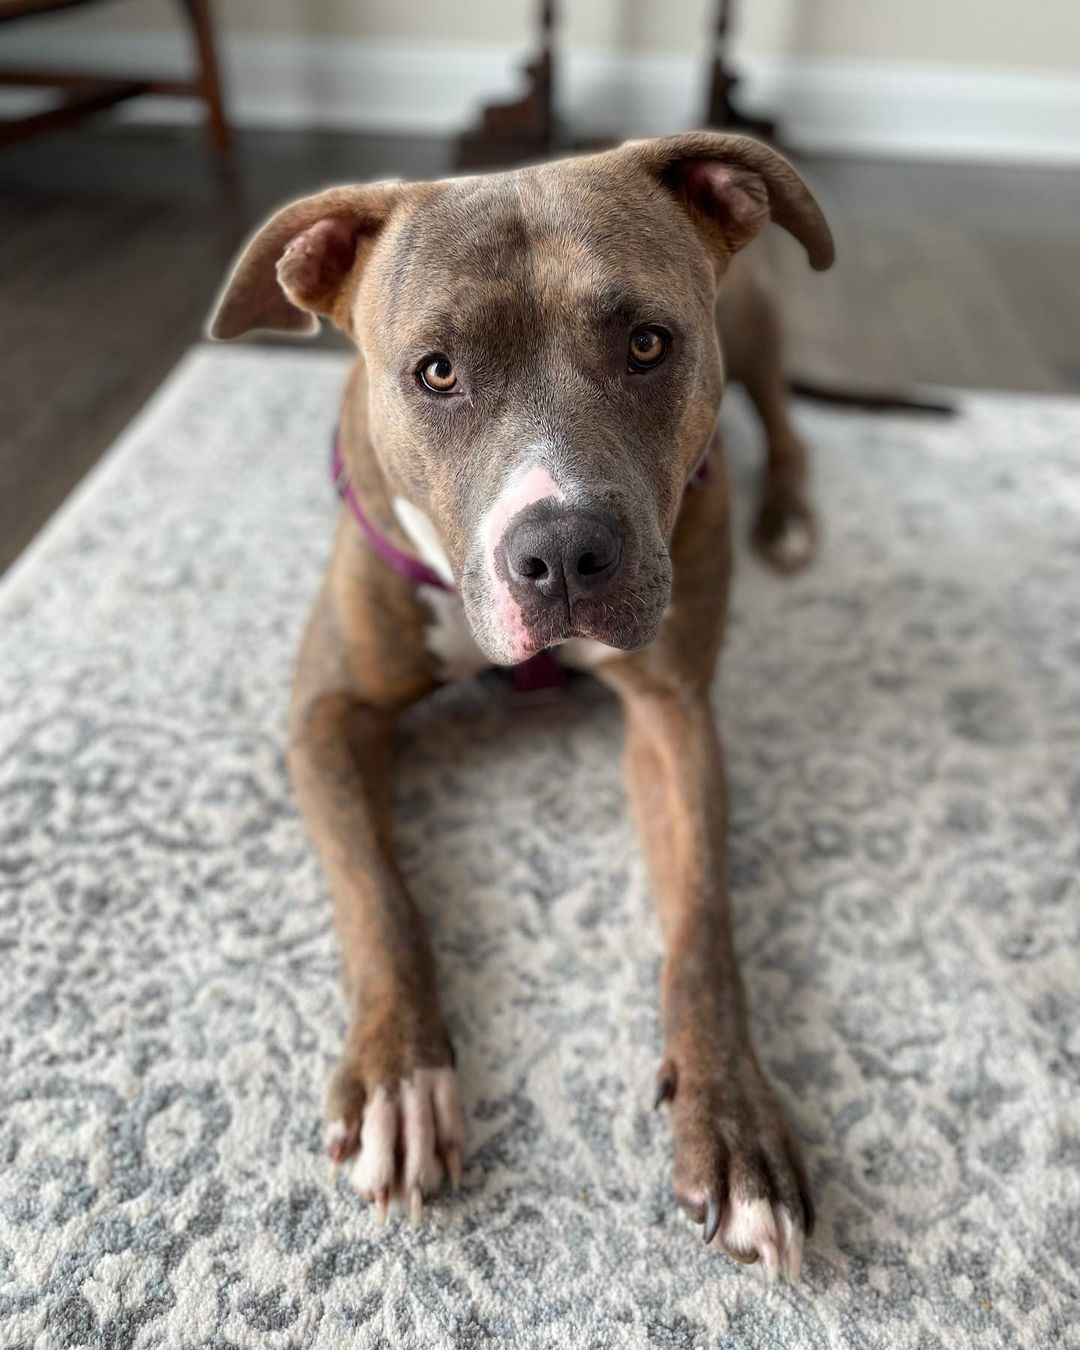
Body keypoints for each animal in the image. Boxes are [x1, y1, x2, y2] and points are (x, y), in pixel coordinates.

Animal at [210, 131, 837, 1279]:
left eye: (647, 343)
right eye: (436, 372)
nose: (563, 552)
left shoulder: (674, 717)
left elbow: (704, 926)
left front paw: (734, 1125)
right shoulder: (325, 710)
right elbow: (378, 894)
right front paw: (401, 1079)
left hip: (764, 324)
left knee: (788, 425)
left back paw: (788, 520)